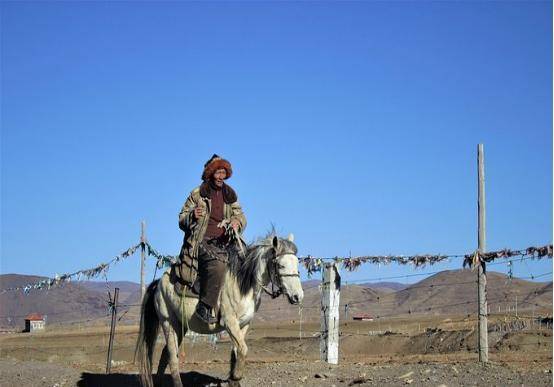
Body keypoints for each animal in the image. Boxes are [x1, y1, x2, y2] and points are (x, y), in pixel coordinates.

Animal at [136, 235, 304, 386]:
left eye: (297, 264)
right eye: (280, 265)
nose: (298, 296)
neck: (243, 284)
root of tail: (159, 283)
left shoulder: (244, 324)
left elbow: (236, 352)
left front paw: (233, 381)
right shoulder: (230, 322)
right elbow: (243, 349)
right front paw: (235, 377)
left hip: (180, 325)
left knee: (166, 354)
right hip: (168, 323)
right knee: (172, 356)